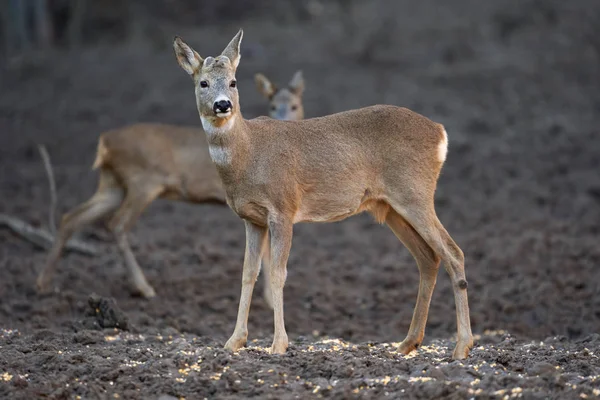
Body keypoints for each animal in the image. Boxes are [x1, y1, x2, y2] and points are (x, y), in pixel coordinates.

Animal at [35, 72, 308, 304]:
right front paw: (270, 300)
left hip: (112, 184)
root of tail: (105, 143)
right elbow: (266, 252)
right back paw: (144, 287)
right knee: (117, 224)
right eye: (273, 106)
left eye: (295, 105)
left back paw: (43, 284)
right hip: (142, 182)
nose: (283, 119)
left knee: (71, 217)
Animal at [172, 28, 474, 360]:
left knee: (453, 253)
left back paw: (462, 346)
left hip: (415, 193)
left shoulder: (283, 208)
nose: (223, 105)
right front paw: (234, 341)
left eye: (233, 82)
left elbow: (278, 273)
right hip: (390, 206)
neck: (249, 154)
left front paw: (278, 344)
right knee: (428, 258)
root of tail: (440, 133)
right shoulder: (252, 218)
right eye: (203, 83)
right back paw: (408, 343)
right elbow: (248, 273)